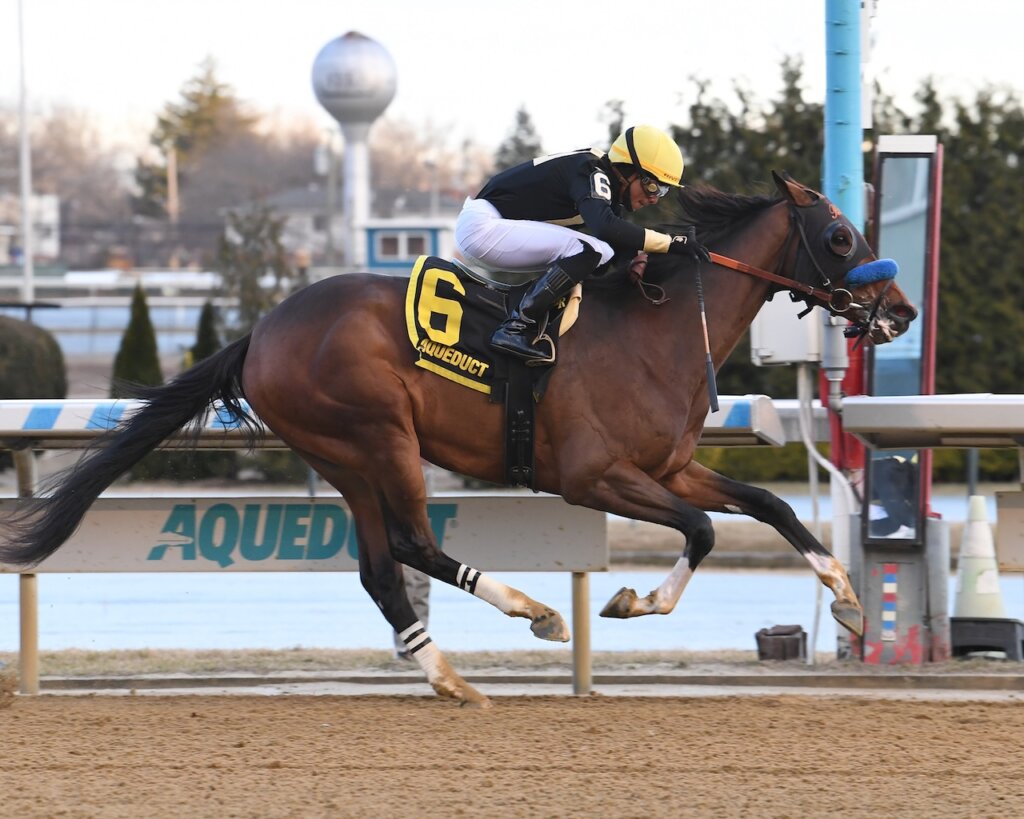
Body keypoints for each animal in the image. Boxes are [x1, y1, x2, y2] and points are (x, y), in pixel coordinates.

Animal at [0, 170, 913, 704]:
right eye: (841, 236)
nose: (898, 310)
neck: (653, 329)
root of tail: (260, 331)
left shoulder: (672, 464)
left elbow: (764, 504)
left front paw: (848, 598)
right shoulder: (593, 475)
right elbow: (702, 530)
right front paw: (630, 599)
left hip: (346, 458)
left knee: (381, 566)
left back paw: (448, 673)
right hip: (379, 436)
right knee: (414, 544)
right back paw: (534, 614)